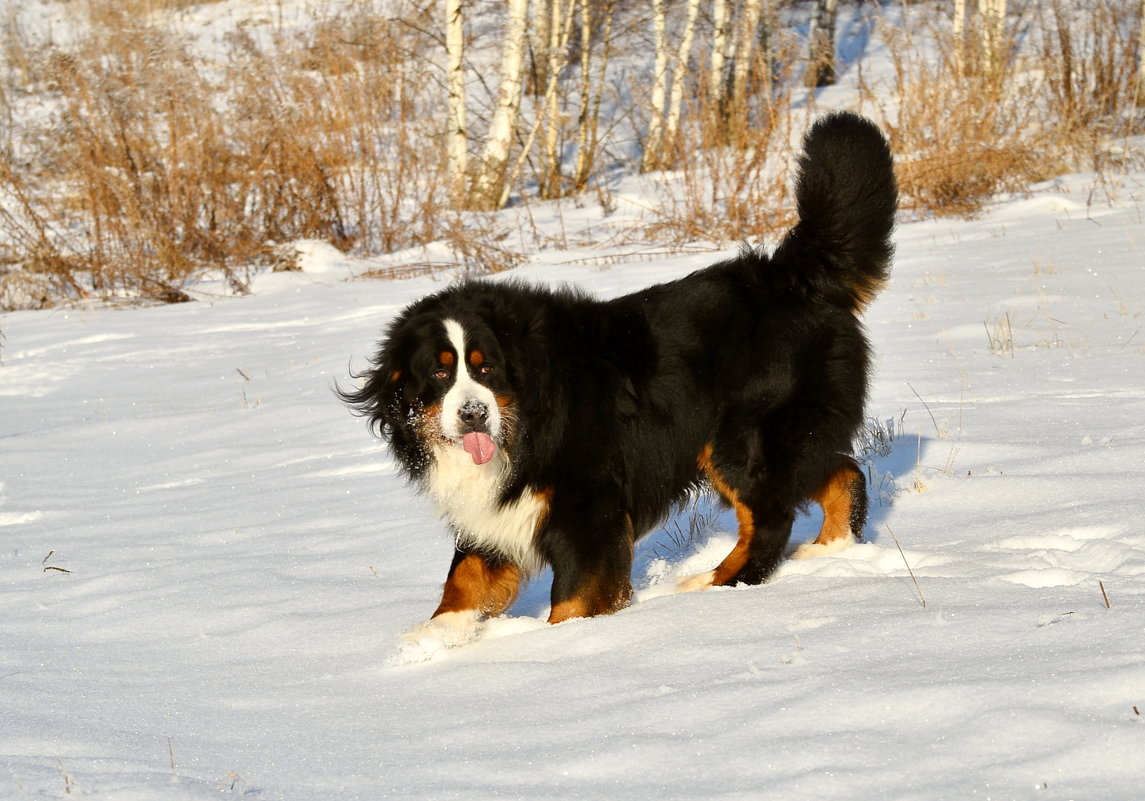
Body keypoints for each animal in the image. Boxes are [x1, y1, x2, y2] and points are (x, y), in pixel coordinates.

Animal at [343, 110, 897, 636]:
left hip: (742, 438)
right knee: (841, 474)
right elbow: (464, 578)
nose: (475, 413)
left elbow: (572, 596)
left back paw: (712, 584)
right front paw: (430, 640)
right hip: (790, 434)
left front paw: (566, 639)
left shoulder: (587, 505)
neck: (529, 419)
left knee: (770, 517)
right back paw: (830, 550)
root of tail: (792, 276)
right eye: (439, 375)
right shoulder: (494, 509)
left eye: (488, 367)